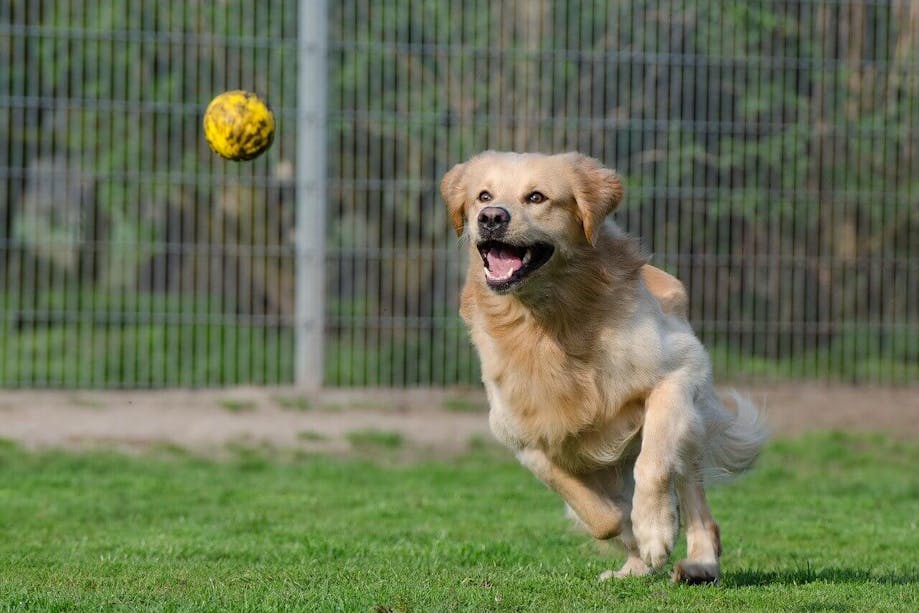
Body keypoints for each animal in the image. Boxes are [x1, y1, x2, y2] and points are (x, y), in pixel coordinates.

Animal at [442, 152, 764, 584]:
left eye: (536, 197)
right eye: (483, 196)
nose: (491, 217)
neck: (548, 322)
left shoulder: (678, 372)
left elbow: (653, 462)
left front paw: (655, 528)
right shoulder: (524, 438)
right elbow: (600, 515)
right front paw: (635, 535)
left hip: (690, 421)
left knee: (692, 493)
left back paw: (699, 561)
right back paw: (633, 567)